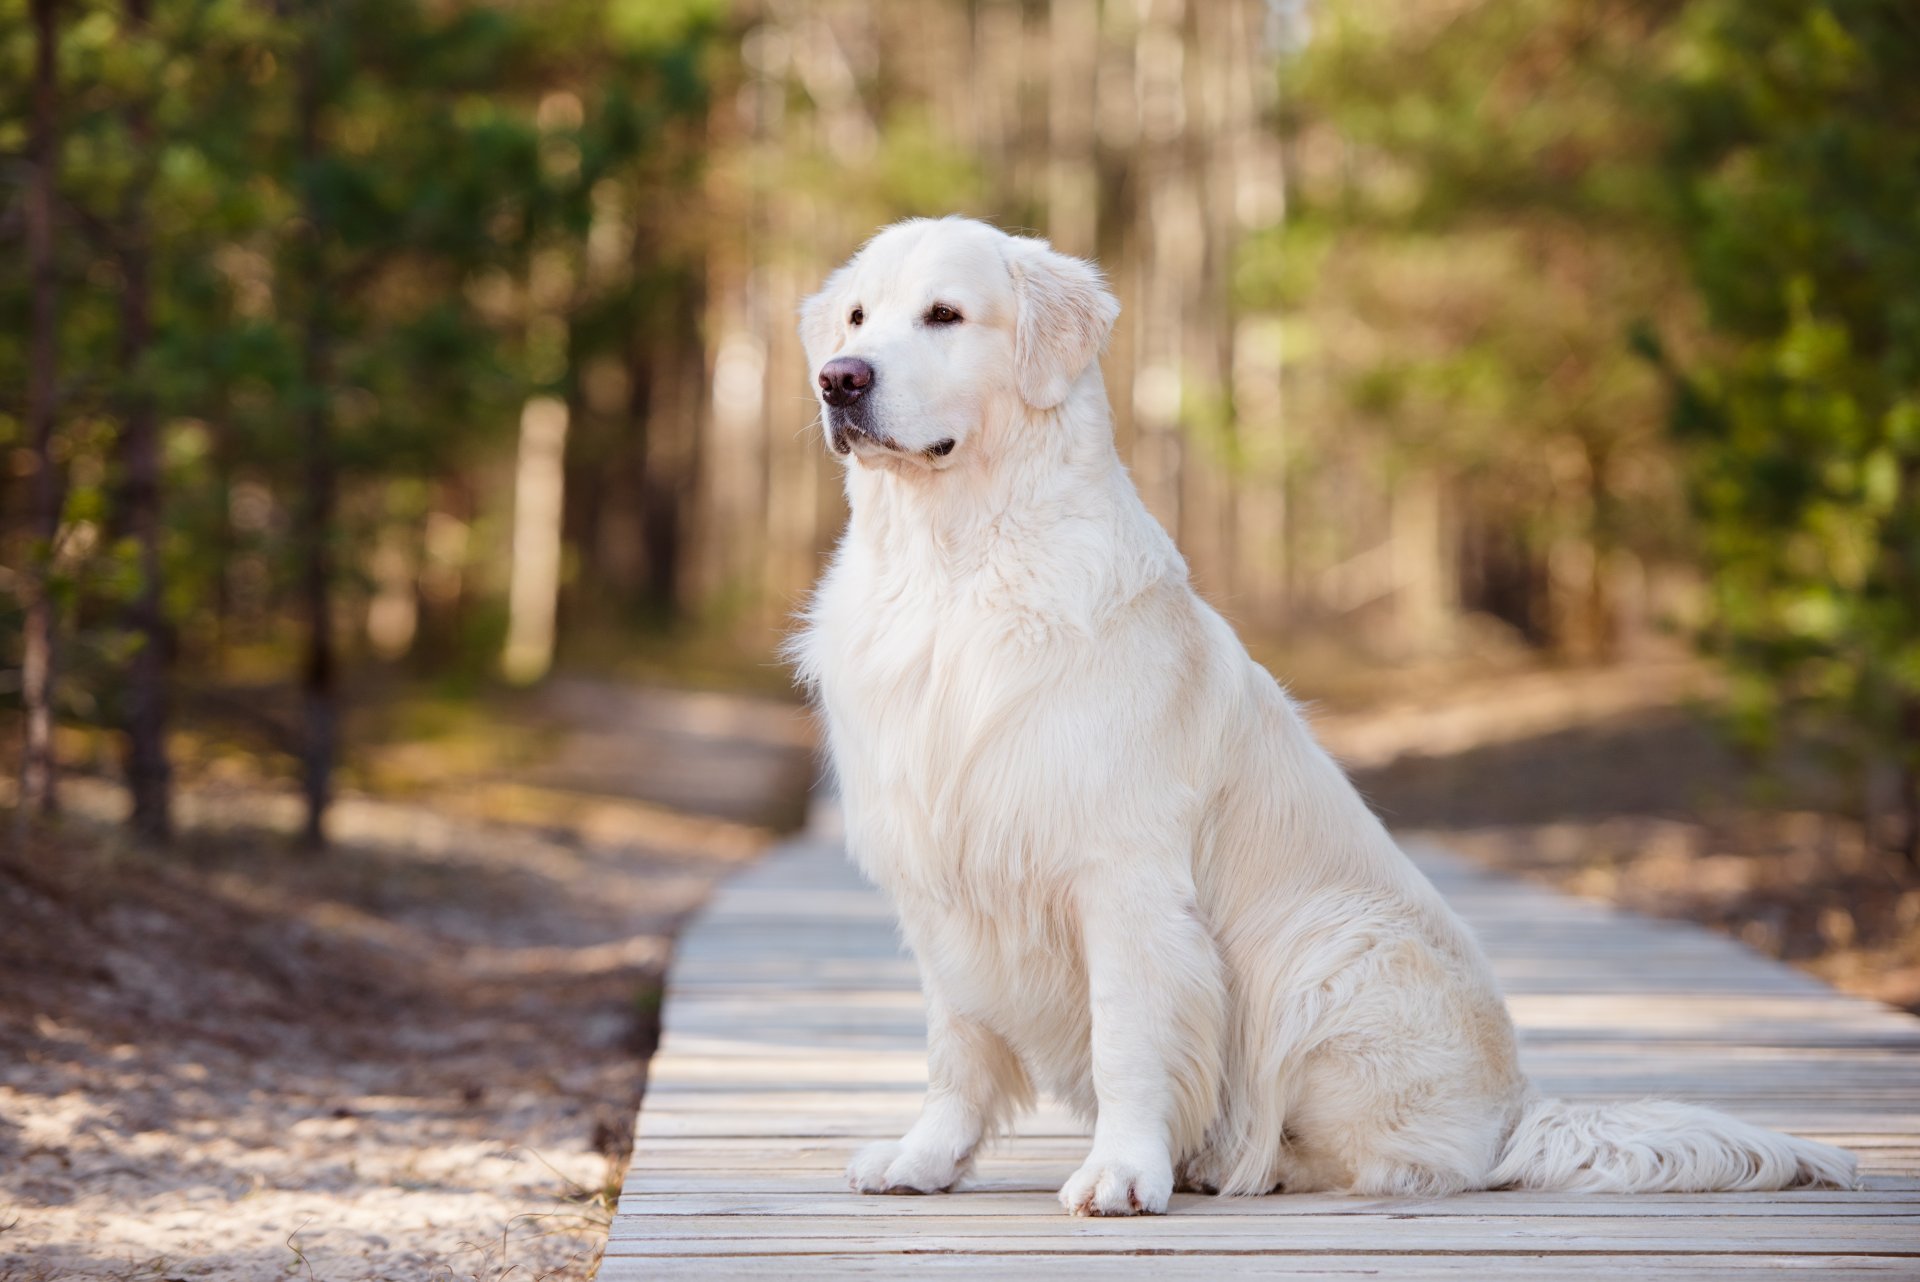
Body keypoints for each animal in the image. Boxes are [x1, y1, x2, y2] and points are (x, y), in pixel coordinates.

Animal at [787, 217, 1850, 1212]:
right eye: (855, 319)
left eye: (945, 315)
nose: (838, 381)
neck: (955, 568)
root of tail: (1520, 1111)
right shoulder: (943, 875)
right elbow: (957, 1046)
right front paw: (925, 1158)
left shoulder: (1121, 874)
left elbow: (1128, 1037)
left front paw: (1123, 1171)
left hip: (1330, 946)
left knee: (1407, 1161)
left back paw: (1249, 1165)